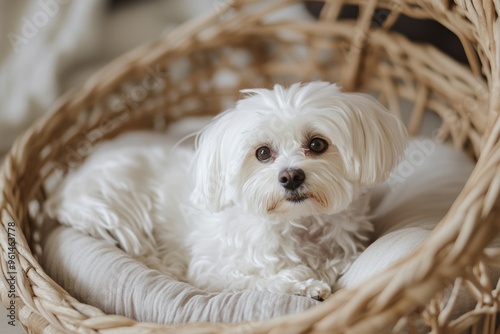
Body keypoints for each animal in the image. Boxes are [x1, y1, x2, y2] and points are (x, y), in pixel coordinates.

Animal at [45, 82, 408, 302]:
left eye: (317, 144)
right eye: (262, 153)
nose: (290, 177)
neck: (298, 226)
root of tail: (63, 188)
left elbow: (338, 262)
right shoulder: (213, 272)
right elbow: (258, 279)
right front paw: (304, 285)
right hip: (113, 208)